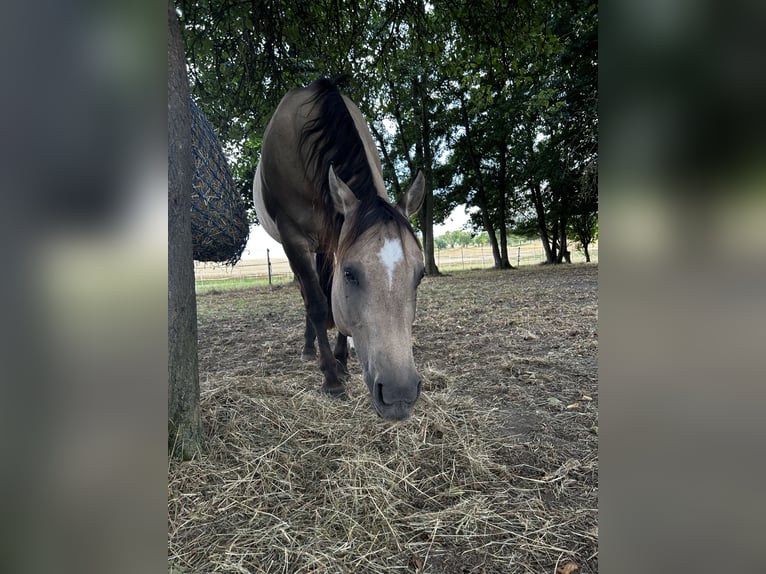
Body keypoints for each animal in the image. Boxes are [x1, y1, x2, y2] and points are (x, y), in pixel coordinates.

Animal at [253, 78, 426, 420]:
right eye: (350, 274)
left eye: (420, 274)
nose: (399, 395)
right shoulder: (294, 239)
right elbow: (320, 305)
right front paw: (331, 378)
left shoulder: (336, 238)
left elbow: (331, 301)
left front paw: (342, 362)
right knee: (308, 296)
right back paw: (310, 350)